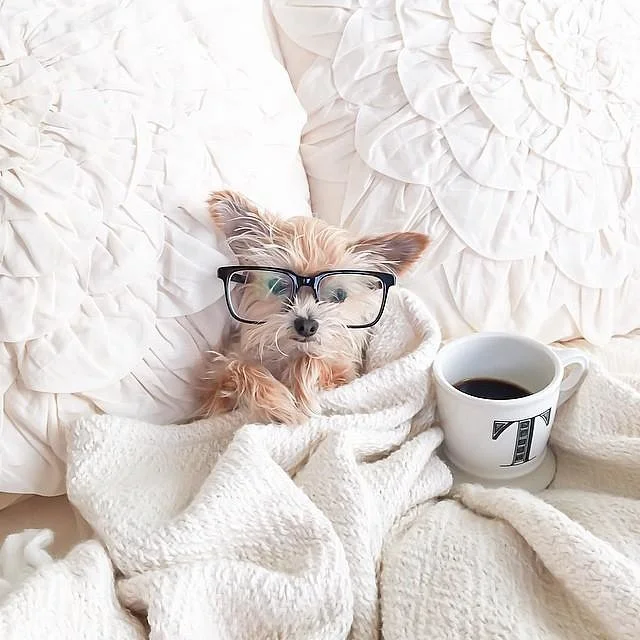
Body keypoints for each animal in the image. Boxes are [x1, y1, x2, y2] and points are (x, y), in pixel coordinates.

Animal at [199, 190, 429, 424]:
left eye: (339, 295)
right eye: (277, 286)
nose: (307, 326)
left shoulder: (345, 374)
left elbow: (312, 359)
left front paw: (303, 391)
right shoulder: (212, 397)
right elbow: (238, 367)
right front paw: (280, 406)